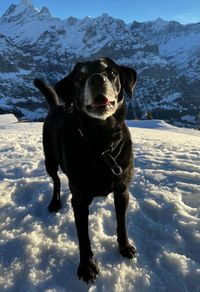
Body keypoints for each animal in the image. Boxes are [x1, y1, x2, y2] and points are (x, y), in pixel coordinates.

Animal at [34, 58, 137, 284]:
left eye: (112, 72)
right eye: (80, 76)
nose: (98, 78)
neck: (101, 145)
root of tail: (57, 106)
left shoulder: (122, 190)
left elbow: (122, 223)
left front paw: (125, 247)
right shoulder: (79, 200)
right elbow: (83, 237)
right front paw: (87, 267)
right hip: (50, 160)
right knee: (56, 180)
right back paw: (55, 202)